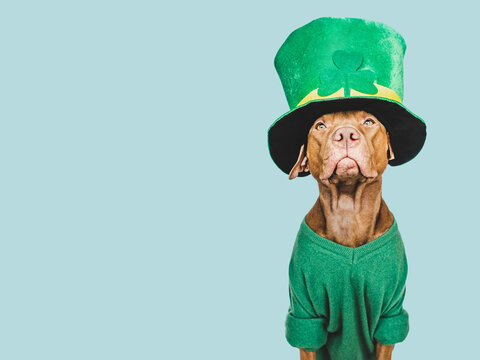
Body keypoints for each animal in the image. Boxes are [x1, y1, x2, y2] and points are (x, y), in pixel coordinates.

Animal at [288, 110, 402, 360]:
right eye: (320, 126)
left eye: (369, 121)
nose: (346, 134)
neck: (349, 211)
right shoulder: (305, 316)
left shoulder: (389, 315)